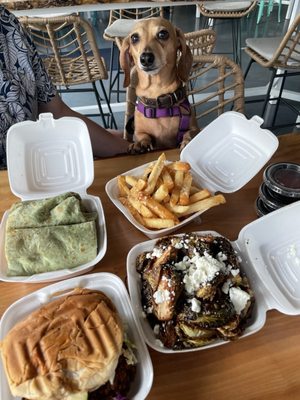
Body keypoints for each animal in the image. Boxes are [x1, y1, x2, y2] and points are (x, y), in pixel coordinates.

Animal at [119, 16, 199, 153]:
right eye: (134, 38)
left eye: (163, 34)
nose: (145, 58)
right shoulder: (140, 132)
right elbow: (143, 135)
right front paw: (140, 143)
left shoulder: (195, 127)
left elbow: (190, 132)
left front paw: (188, 141)